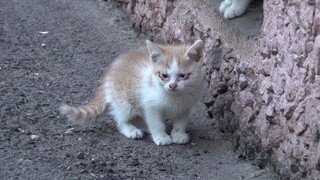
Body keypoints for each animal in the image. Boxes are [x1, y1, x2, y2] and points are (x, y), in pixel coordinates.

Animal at [59, 39, 204, 145]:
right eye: (164, 75)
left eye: (183, 76)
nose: (172, 85)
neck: (174, 97)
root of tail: (109, 74)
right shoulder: (150, 103)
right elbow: (155, 122)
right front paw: (161, 136)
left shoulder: (186, 105)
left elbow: (181, 121)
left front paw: (178, 134)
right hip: (124, 102)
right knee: (120, 118)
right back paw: (130, 129)